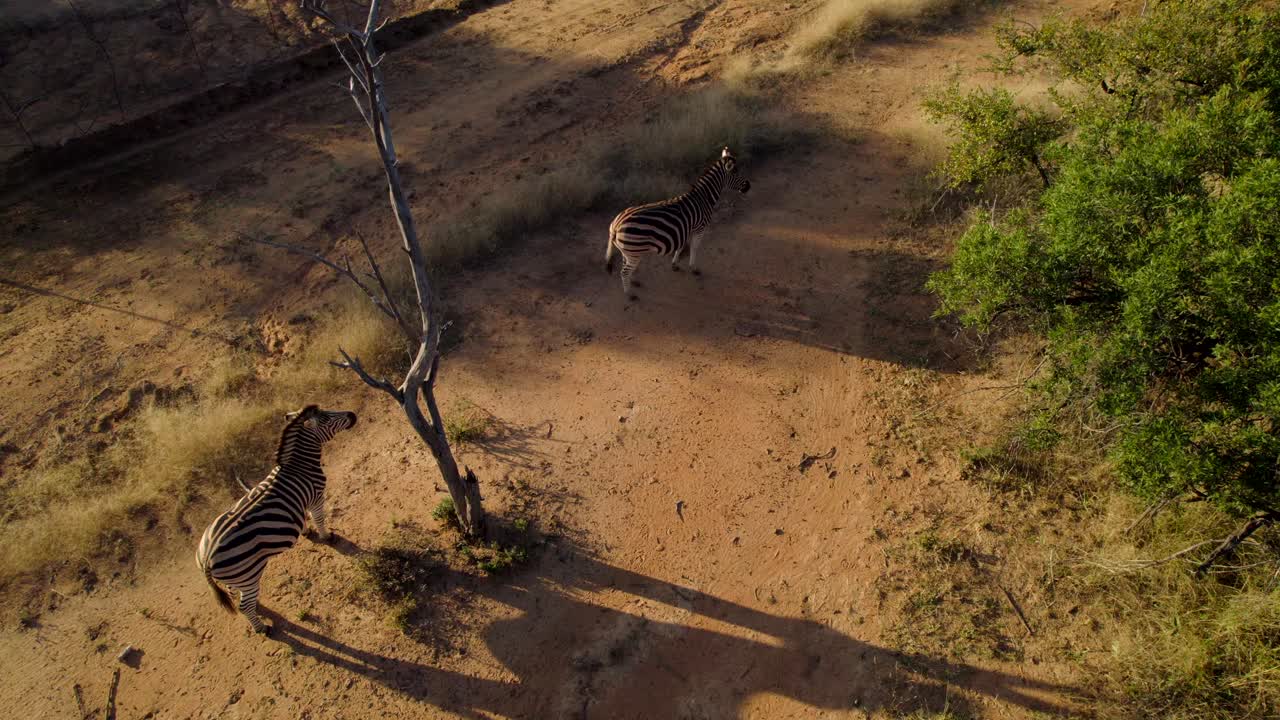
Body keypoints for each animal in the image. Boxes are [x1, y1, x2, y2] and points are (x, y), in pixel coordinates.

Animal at [196, 405, 357, 634]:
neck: (297, 466)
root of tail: (206, 559)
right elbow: (319, 518)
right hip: (248, 574)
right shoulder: (317, 496)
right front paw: (326, 537)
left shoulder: (301, 501)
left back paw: (257, 608)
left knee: (235, 594)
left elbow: (305, 518)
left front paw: (306, 531)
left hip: (237, 577)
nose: (353, 415)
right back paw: (261, 628)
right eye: (326, 418)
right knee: (244, 606)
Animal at [605, 146, 752, 298]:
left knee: (626, 268)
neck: (703, 198)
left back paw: (633, 282)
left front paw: (674, 264)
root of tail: (616, 225)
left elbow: (680, 247)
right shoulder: (700, 228)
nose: (748, 186)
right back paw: (630, 294)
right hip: (634, 251)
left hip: (628, 251)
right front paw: (693, 268)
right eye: (736, 172)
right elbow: (694, 247)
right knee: (624, 272)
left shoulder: (686, 229)